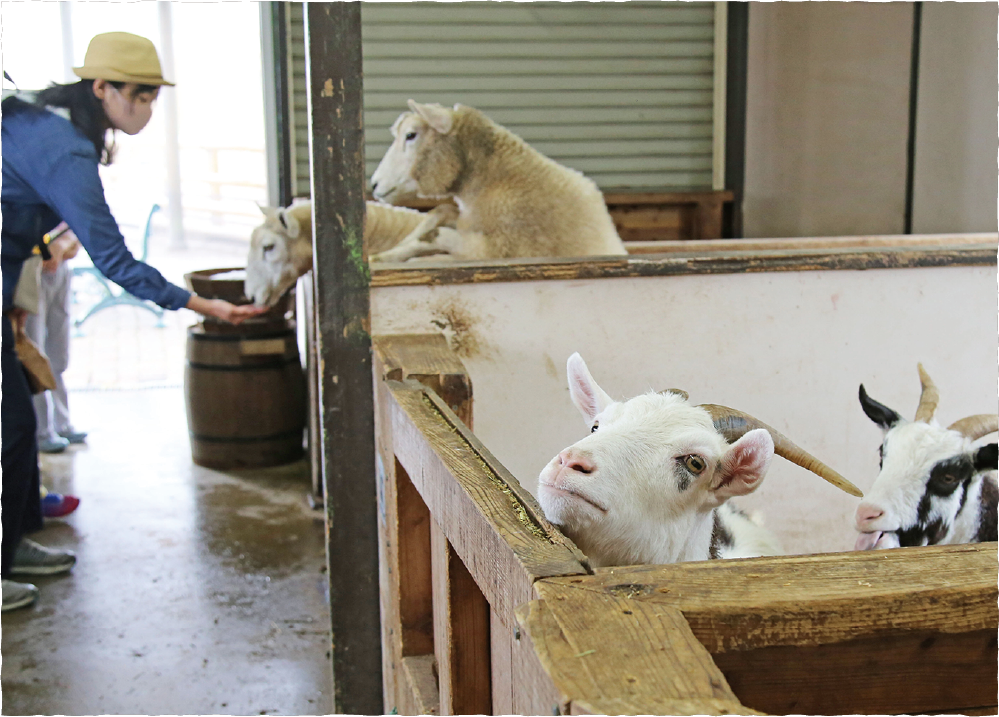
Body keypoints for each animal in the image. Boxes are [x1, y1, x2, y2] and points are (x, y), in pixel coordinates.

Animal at [372, 100, 628, 262]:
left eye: (411, 135)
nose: (373, 184)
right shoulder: (471, 222)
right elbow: (440, 212)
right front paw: (389, 253)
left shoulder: (501, 247)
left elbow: (436, 235)